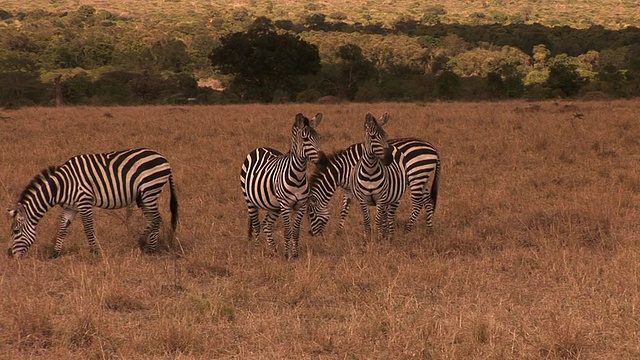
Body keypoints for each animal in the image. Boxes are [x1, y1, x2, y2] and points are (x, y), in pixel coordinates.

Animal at [6, 148, 178, 258]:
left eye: (15, 231)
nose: (9, 255)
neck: (63, 185)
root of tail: (164, 159)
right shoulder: (71, 207)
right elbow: (62, 229)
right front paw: (55, 253)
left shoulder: (84, 202)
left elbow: (88, 229)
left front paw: (95, 253)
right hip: (143, 196)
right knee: (152, 219)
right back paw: (141, 242)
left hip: (150, 189)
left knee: (156, 219)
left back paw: (150, 249)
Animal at [242, 112, 328, 258]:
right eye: (305, 139)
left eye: (319, 137)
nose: (324, 161)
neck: (298, 177)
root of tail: (260, 148)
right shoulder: (286, 205)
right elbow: (287, 231)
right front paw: (287, 255)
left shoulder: (300, 206)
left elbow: (296, 231)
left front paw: (295, 254)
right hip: (250, 200)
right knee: (257, 225)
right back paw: (257, 251)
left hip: (274, 206)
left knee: (266, 225)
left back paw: (273, 251)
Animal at [308, 138, 440, 236]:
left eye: (311, 215)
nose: (311, 234)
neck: (344, 169)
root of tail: (433, 149)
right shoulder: (349, 189)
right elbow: (344, 209)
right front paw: (339, 231)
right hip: (423, 179)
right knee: (428, 202)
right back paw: (429, 230)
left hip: (416, 176)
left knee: (418, 203)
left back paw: (407, 230)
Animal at [348, 112, 408, 242]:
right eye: (373, 137)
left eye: (386, 135)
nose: (389, 158)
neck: (370, 171)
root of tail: (394, 147)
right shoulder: (363, 200)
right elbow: (367, 220)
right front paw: (367, 239)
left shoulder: (381, 198)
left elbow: (378, 220)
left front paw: (379, 239)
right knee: (385, 216)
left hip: (395, 198)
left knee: (390, 217)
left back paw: (389, 237)